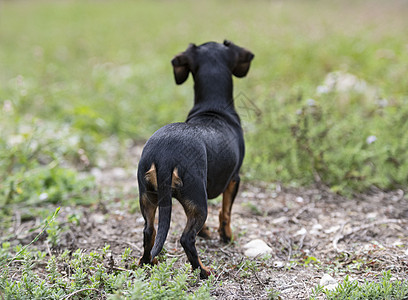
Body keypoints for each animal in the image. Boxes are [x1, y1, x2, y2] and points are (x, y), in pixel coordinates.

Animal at [139, 40, 253, 278]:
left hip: (148, 197)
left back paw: (147, 262)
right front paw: (226, 236)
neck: (212, 108)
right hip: (199, 201)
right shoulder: (234, 179)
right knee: (186, 238)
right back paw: (203, 270)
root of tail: (165, 156)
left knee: (149, 231)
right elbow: (225, 213)